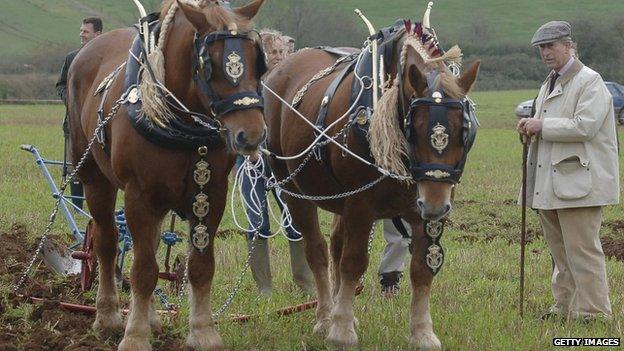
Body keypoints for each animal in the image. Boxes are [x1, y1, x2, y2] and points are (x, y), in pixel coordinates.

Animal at [66, 1, 266, 350]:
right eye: (210, 64)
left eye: (257, 59)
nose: (251, 134)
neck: (183, 126)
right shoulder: (138, 195)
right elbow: (143, 270)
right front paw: (135, 336)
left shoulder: (210, 195)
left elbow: (199, 266)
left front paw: (203, 332)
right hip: (94, 179)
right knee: (107, 243)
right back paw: (107, 316)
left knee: (150, 245)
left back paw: (150, 317)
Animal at [264, 20, 482, 351]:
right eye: (413, 128)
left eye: (464, 131)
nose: (434, 205)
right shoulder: (360, 205)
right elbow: (354, 262)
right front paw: (341, 331)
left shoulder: (422, 211)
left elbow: (423, 267)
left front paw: (422, 332)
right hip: (294, 192)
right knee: (318, 251)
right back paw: (326, 316)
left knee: (336, 245)